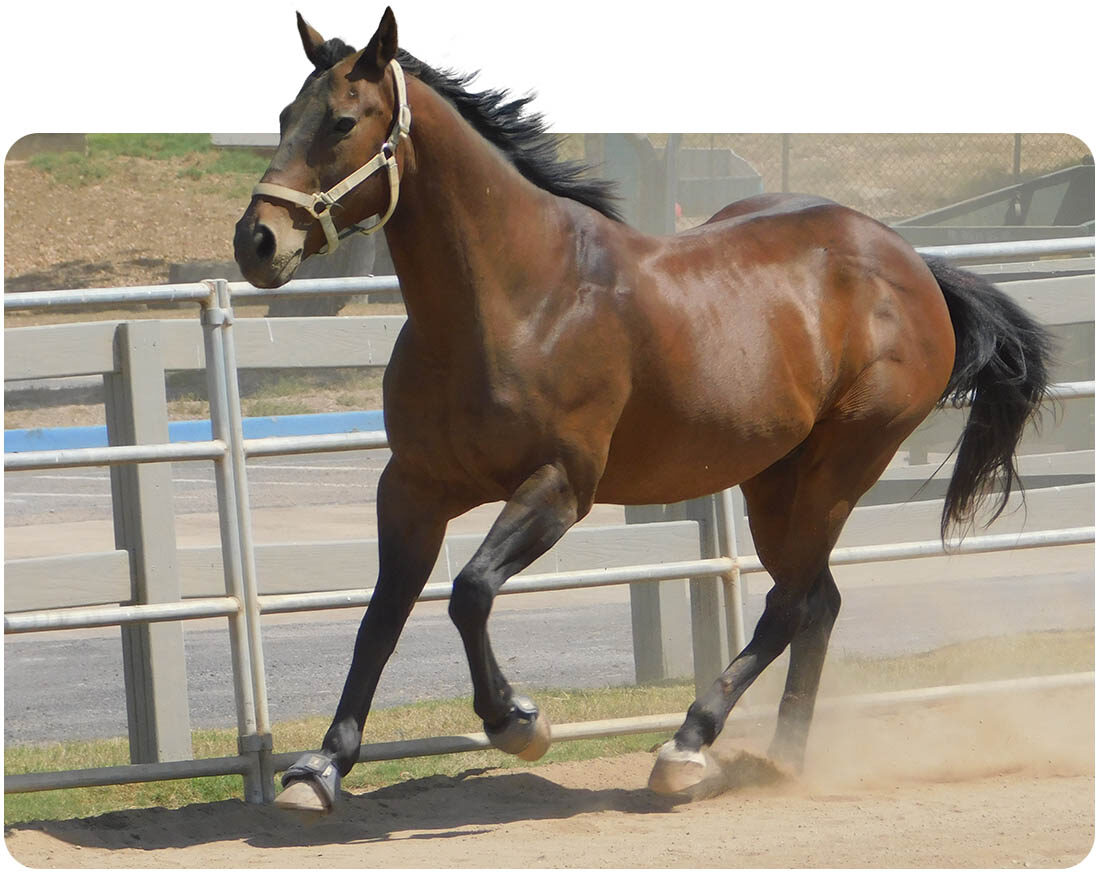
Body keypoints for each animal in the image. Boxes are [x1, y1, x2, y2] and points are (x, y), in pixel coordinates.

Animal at [233, 8, 1053, 813]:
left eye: (342, 121)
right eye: (282, 116)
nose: (256, 241)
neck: (518, 299)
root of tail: (911, 263)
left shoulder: (560, 487)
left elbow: (470, 592)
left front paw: (517, 721)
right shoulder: (412, 487)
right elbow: (381, 614)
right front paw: (321, 766)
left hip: (842, 465)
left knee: (791, 603)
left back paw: (687, 747)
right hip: (773, 479)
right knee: (817, 600)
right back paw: (781, 759)